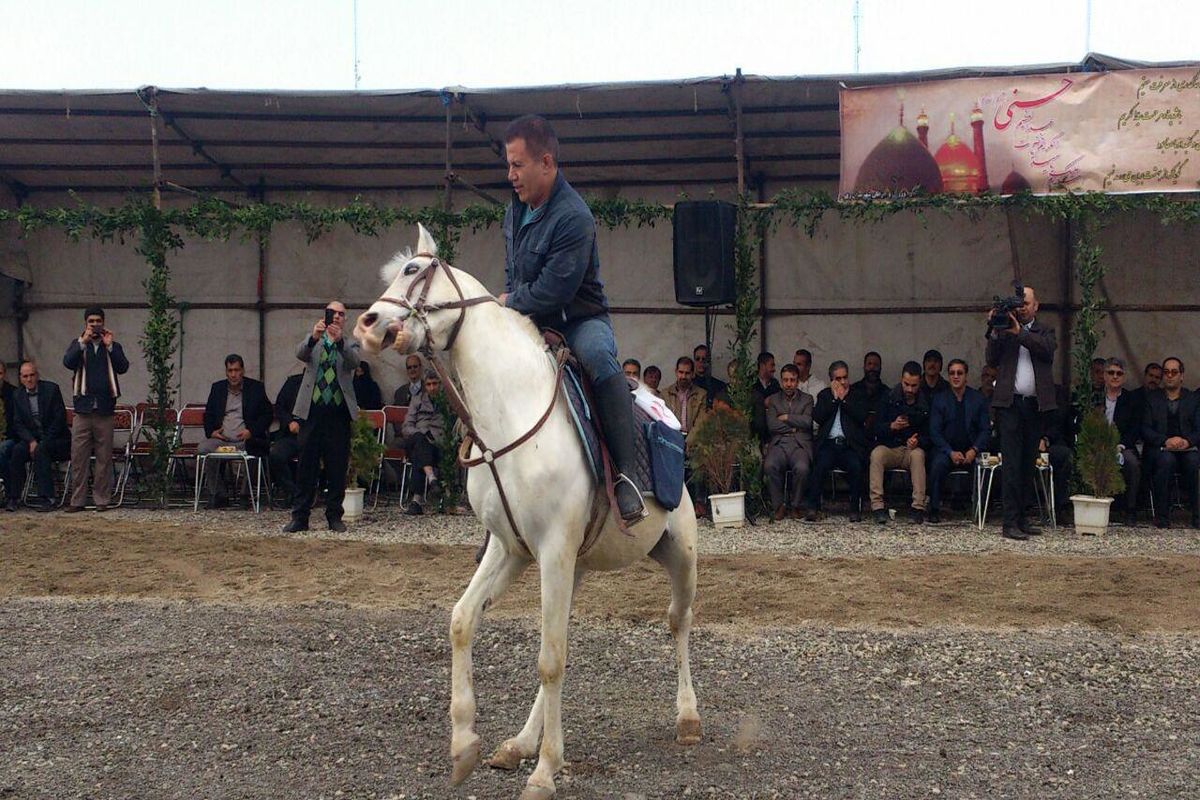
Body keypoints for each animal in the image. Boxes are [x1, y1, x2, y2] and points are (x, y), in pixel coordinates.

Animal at [350, 224, 700, 800]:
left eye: (412, 271)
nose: (369, 325)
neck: (510, 417)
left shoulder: (552, 550)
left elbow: (550, 659)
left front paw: (545, 770)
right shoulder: (511, 548)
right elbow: (464, 622)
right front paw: (466, 744)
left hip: (680, 554)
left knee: (678, 622)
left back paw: (688, 717)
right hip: (574, 567)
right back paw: (517, 744)